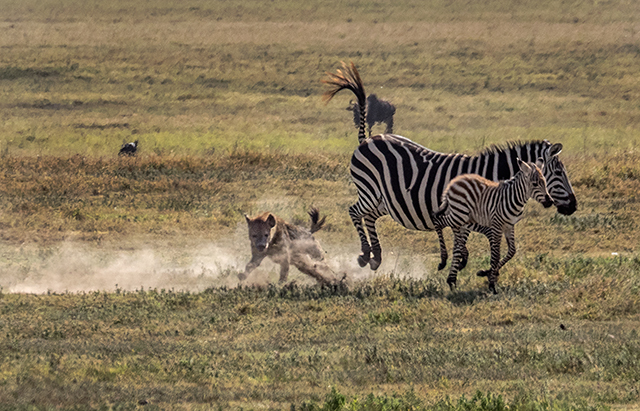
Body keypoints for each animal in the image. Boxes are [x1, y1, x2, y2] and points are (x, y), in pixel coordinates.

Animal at [322, 62, 576, 276]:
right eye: (558, 173)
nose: (573, 206)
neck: (490, 176)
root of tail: (367, 139)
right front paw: (462, 262)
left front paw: (464, 262)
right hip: (369, 191)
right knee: (355, 212)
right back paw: (366, 254)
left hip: (384, 200)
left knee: (369, 216)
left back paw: (376, 256)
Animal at [432, 159, 552, 294]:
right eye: (535, 184)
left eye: (545, 183)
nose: (550, 201)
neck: (513, 198)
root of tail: (454, 182)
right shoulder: (496, 226)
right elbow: (496, 255)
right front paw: (492, 285)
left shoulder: (509, 226)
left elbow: (511, 251)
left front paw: (486, 273)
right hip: (459, 214)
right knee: (437, 220)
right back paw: (443, 261)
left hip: (461, 217)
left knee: (455, 234)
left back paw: (457, 268)